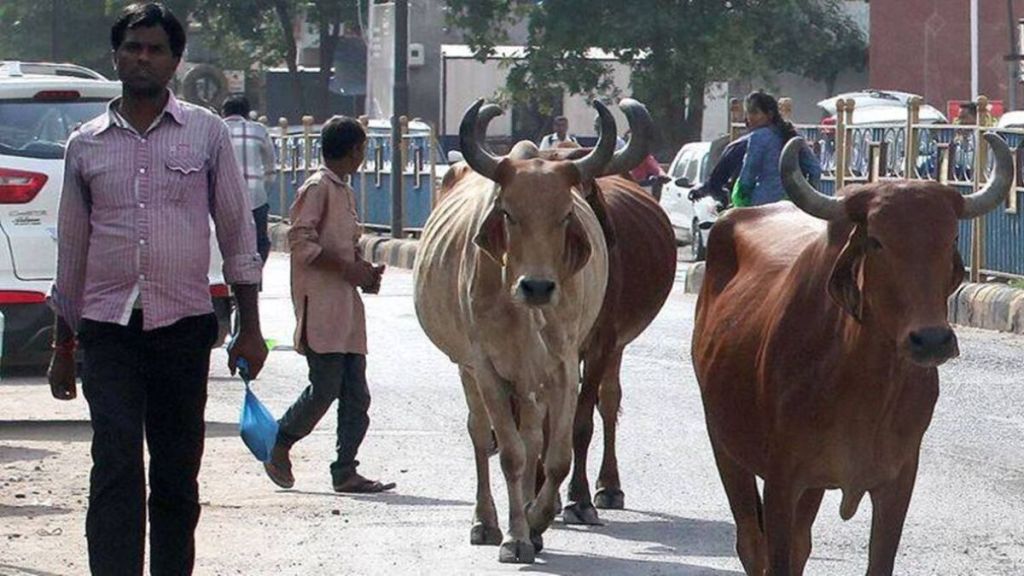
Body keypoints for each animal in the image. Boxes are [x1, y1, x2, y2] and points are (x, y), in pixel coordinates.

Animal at [413, 99, 619, 563]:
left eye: (566, 214)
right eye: (508, 212)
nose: (537, 287)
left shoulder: (564, 367)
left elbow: (555, 456)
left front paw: (537, 521)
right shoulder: (486, 368)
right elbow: (509, 454)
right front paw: (515, 538)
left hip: (531, 382)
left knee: (532, 437)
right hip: (469, 370)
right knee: (480, 434)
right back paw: (487, 521)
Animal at [691, 133, 1013, 575]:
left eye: (950, 238)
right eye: (876, 240)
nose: (931, 340)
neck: (862, 384)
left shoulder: (897, 481)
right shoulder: (782, 480)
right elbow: (776, 555)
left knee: (801, 544)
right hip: (724, 444)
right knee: (751, 543)